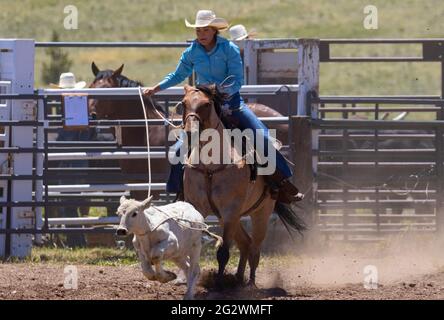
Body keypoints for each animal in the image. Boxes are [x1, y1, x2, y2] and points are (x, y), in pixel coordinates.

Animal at [180, 84, 306, 286]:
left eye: (206, 104)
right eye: (183, 103)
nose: (191, 132)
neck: (210, 167)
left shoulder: (231, 210)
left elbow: (223, 252)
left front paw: (219, 284)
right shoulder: (201, 208)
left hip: (260, 213)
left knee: (255, 248)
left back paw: (250, 283)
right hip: (229, 217)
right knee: (246, 243)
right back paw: (238, 278)